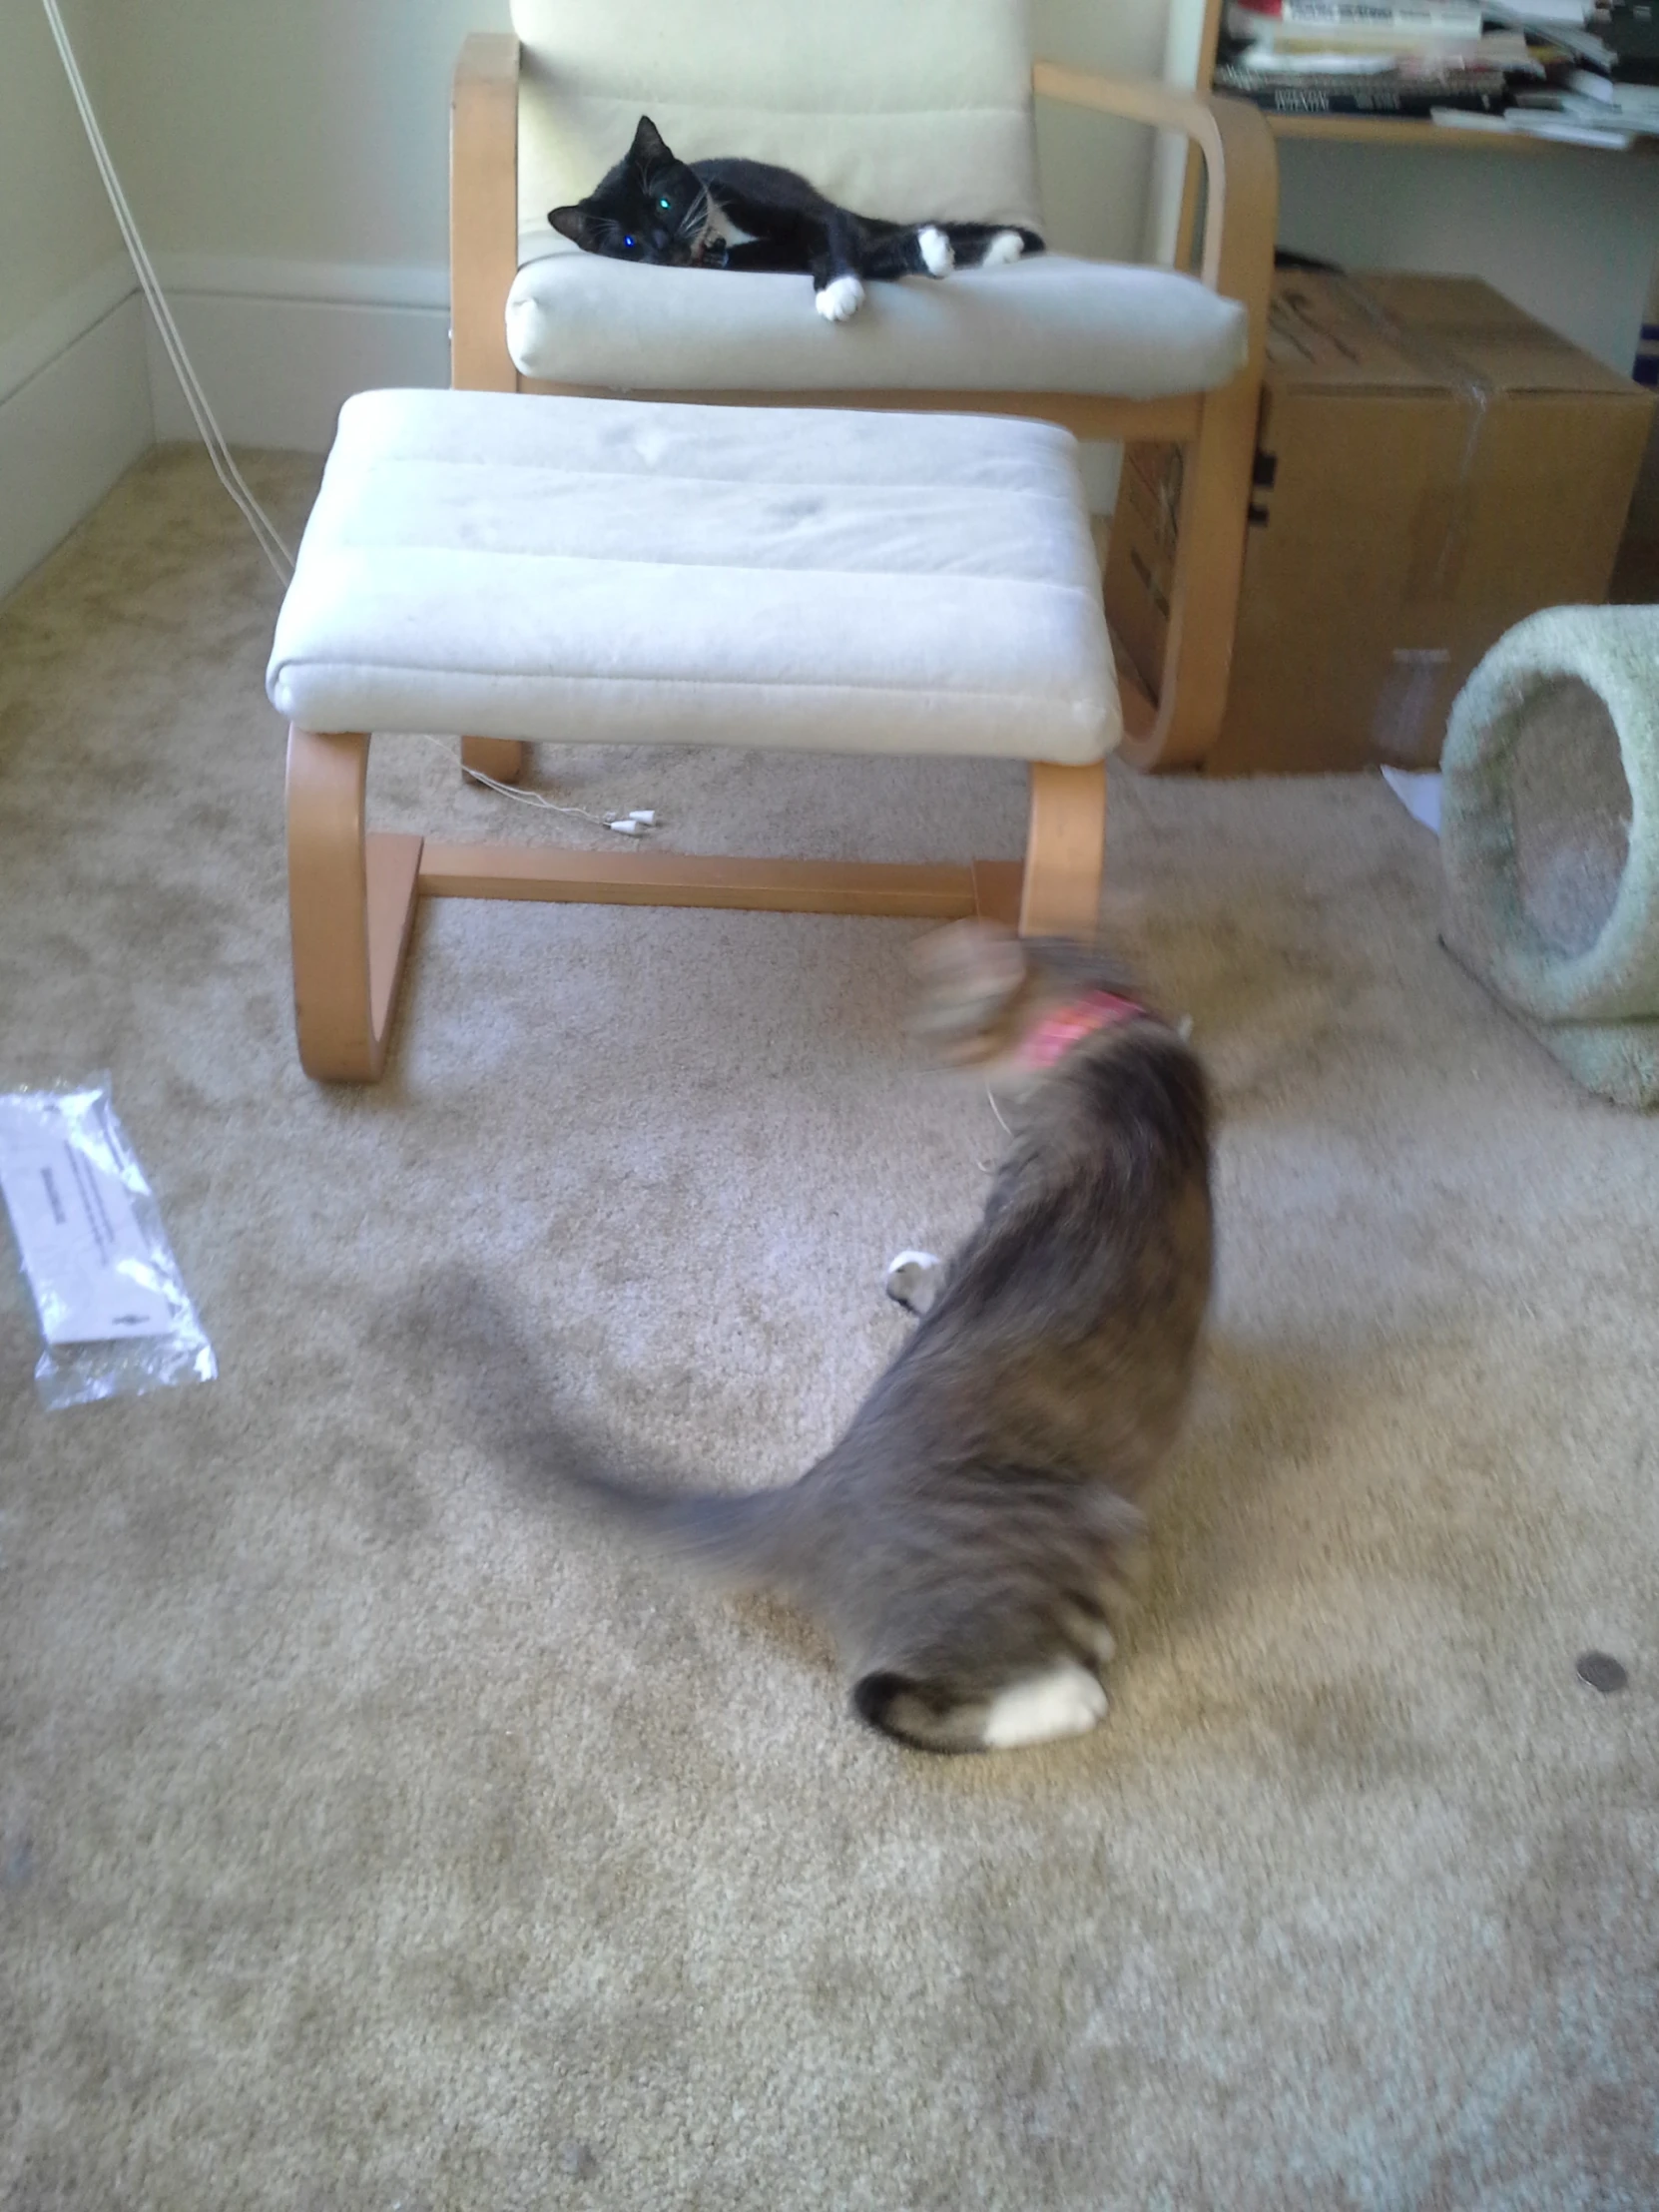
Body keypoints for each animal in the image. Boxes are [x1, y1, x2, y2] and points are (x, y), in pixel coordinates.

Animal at [553, 924, 1212, 1752]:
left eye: (939, 1014)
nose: (917, 1036)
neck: (1110, 1029)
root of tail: (814, 1498)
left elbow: (949, 1273)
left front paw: (912, 1277)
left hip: (1090, 1522)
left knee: (884, 1696)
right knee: (885, 1696)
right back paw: (1065, 1692)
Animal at [559, 116, 1052, 322]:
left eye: (663, 203)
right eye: (629, 242)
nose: (663, 243)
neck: (720, 238)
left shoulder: (803, 214)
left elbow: (834, 238)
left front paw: (837, 288)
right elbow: (863, 256)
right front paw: (845, 288)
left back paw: (1000, 245)